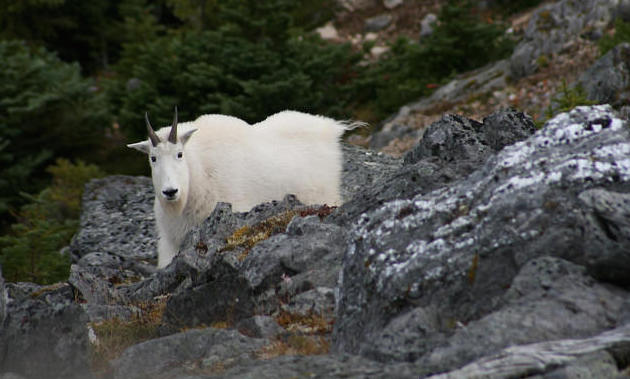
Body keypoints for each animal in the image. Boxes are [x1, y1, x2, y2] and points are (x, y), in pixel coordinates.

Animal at [128, 107, 356, 268]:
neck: (199, 170)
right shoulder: (170, 240)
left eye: (179, 154)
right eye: (153, 158)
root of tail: (331, 128)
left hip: (326, 195)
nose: (170, 192)